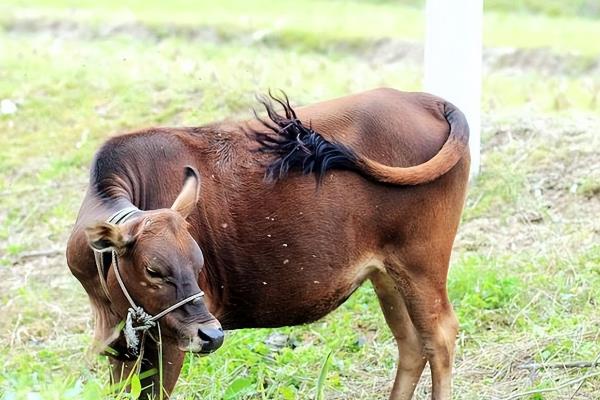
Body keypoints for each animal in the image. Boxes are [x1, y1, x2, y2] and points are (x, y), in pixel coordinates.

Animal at [65, 88, 468, 400]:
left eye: (198, 264)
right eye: (152, 270)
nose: (211, 335)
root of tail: (427, 100)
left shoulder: (169, 342)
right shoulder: (121, 346)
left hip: (421, 262)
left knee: (440, 335)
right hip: (387, 273)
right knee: (412, 342)